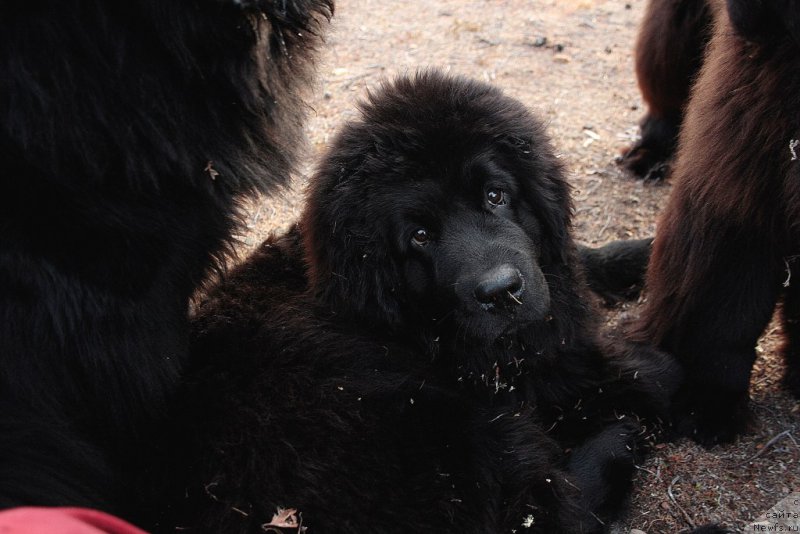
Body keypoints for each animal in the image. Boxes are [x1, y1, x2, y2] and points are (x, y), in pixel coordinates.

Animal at [167, 72, 712, 534]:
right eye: (420, 236)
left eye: (495, 196)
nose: (501, 291)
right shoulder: (522, 377)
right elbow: (635, 373)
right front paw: (656, 373)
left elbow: (578, 262)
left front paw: (639, 255)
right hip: (448, 429)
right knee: (550, 508)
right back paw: (621, 438)